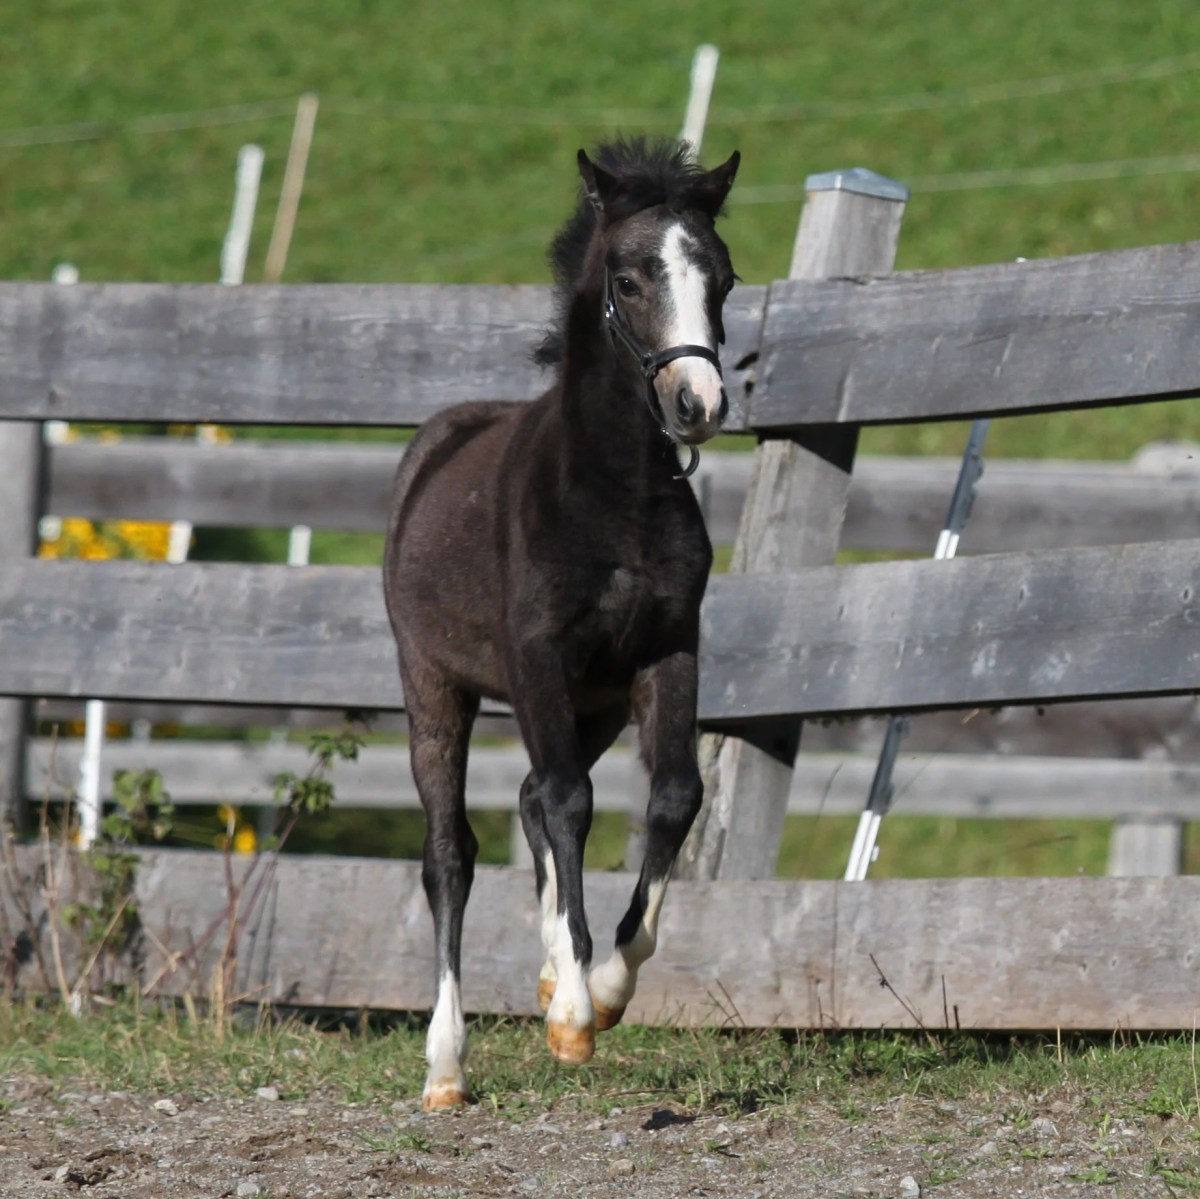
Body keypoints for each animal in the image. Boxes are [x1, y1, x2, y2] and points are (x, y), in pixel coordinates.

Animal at [383, 138, 740, 1110]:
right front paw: (577, 1013)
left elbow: (671, 797)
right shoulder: (538, 655)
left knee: (531, 795)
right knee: (453, 850)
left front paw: (604, 984)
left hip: (596, 702)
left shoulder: (668, 650)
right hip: (435, 685)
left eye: (724, 277)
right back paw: (446, 1063)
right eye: (629, 278)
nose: (698, 404)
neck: (615, 497)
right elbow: (571, 804)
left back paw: (549, 968)